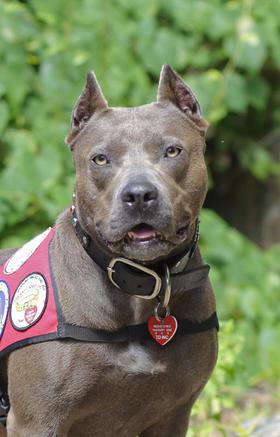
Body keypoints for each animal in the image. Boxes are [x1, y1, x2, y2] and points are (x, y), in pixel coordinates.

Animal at [0, 65, 218, 436]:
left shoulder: (174, 413)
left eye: (172, 151)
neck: (139, 287)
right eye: (100, 159)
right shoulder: (37, 420)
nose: (139, 194)